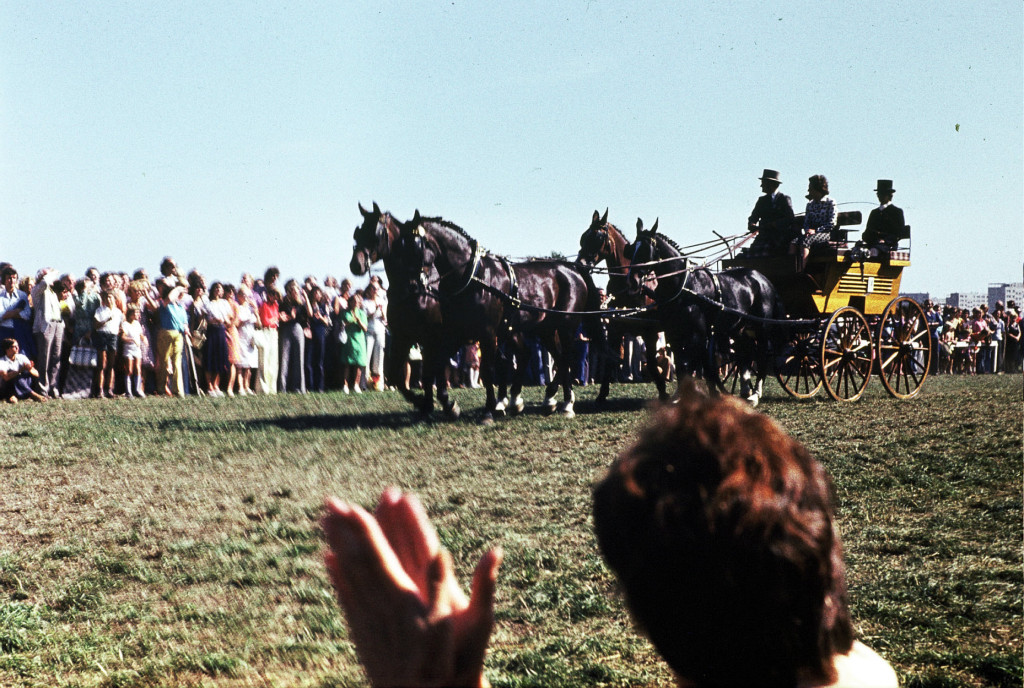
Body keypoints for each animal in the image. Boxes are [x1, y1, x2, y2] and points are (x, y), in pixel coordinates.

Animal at [577, 209, 671, 403]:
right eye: (584, 236)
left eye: (597, 237)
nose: (579, 264)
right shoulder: (615, 328)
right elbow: (610, 359)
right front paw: (602, 394)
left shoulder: (649, 331)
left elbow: (651, 362)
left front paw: (663, 390)